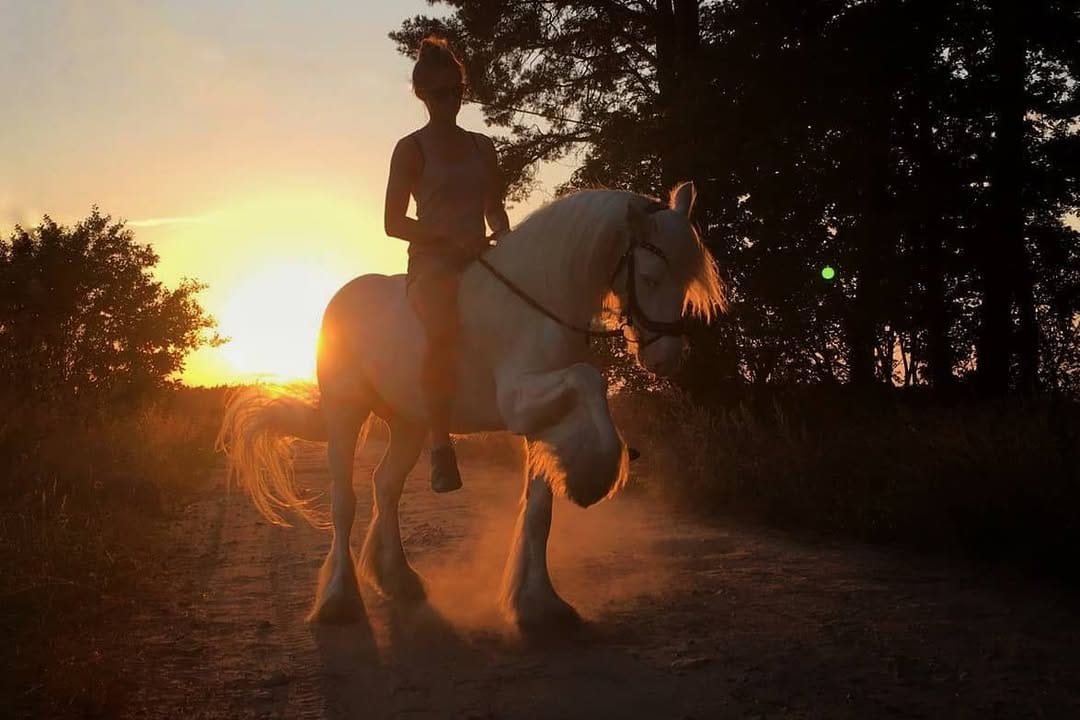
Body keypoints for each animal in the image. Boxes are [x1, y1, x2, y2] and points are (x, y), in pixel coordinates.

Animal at [215, 181, 725, 631]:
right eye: (651, 277)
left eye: (686, 280)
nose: (666, 357)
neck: (539, 302)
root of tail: (339, 299)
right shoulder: (519, 401)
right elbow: (590, 380)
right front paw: (591, 478)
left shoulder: (539, 418)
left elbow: (539, 513)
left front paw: (540, 607)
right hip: (346, 412)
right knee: (345, 502)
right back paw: (339, 602)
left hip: (409, 424)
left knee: (385, 486)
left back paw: (397, 579)